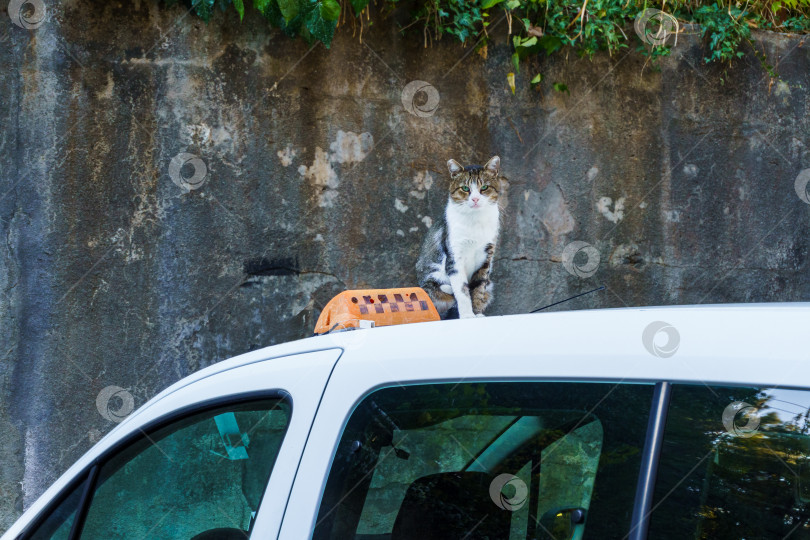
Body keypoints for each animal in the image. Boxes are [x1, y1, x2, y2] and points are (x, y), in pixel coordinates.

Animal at [416, 154, 498, 318]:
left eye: (484, 187)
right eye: (465, 188)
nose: (475, 199)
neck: (475, 220)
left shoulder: (486, 257)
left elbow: (478, 288)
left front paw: (477, 314)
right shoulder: (454, 257)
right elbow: (462, 290)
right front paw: (467, 315)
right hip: (430, 282)